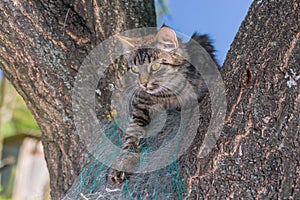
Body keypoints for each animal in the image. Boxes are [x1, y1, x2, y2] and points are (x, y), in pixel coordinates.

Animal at [109, 25, 216, 184]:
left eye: (155, 66)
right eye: (135, 69)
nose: (143, 84)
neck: (163, 95)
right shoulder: (138, 111)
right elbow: (130, 139)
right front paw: (123, 164)